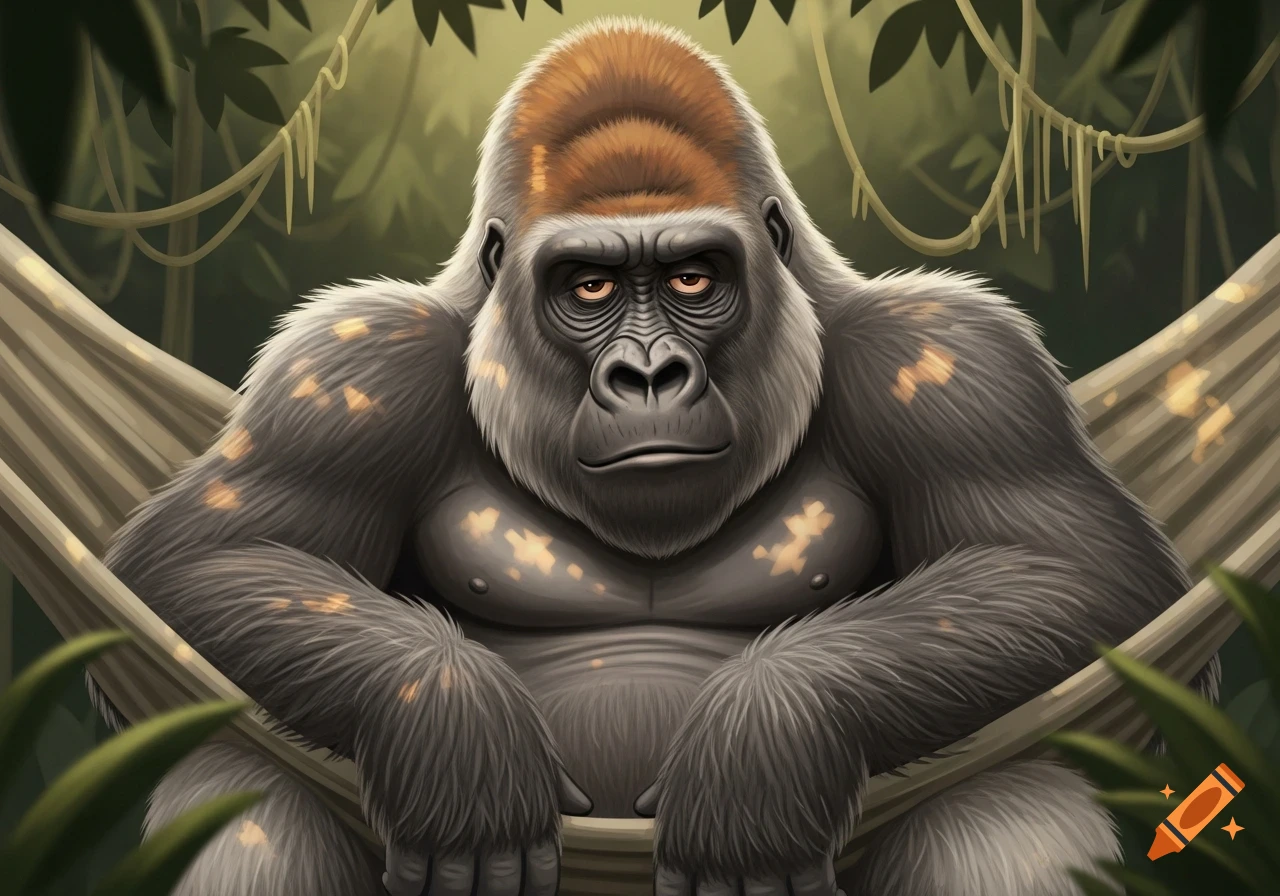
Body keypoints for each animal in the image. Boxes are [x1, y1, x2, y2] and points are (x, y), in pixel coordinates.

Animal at [90, 16, 1219, 896]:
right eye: (587, 286)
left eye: (691, 276)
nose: (648, 375)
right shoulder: (347, 372)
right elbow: (207, 556)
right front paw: (448, 726)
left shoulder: (951, 361)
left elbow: (1073, 568)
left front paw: (772, 734)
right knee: (252, 789)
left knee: (1004, 800)